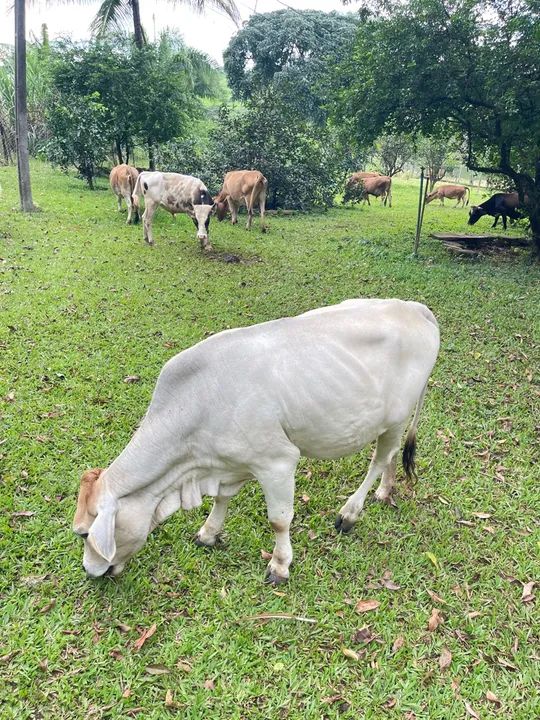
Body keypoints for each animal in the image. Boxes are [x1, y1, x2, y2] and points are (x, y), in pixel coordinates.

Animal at [73, 298, 439, 585]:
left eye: (85, 533)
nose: (91, 572)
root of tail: (416, 308)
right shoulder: (228, 462)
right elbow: (222, 497)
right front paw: (208, 533)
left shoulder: (278, 461)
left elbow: (279, 519)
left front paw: (279, 565)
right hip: (392, 421)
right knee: (391, 455)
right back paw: (385, 491)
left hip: (396, 417)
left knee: (379, 459)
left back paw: (349, 513)